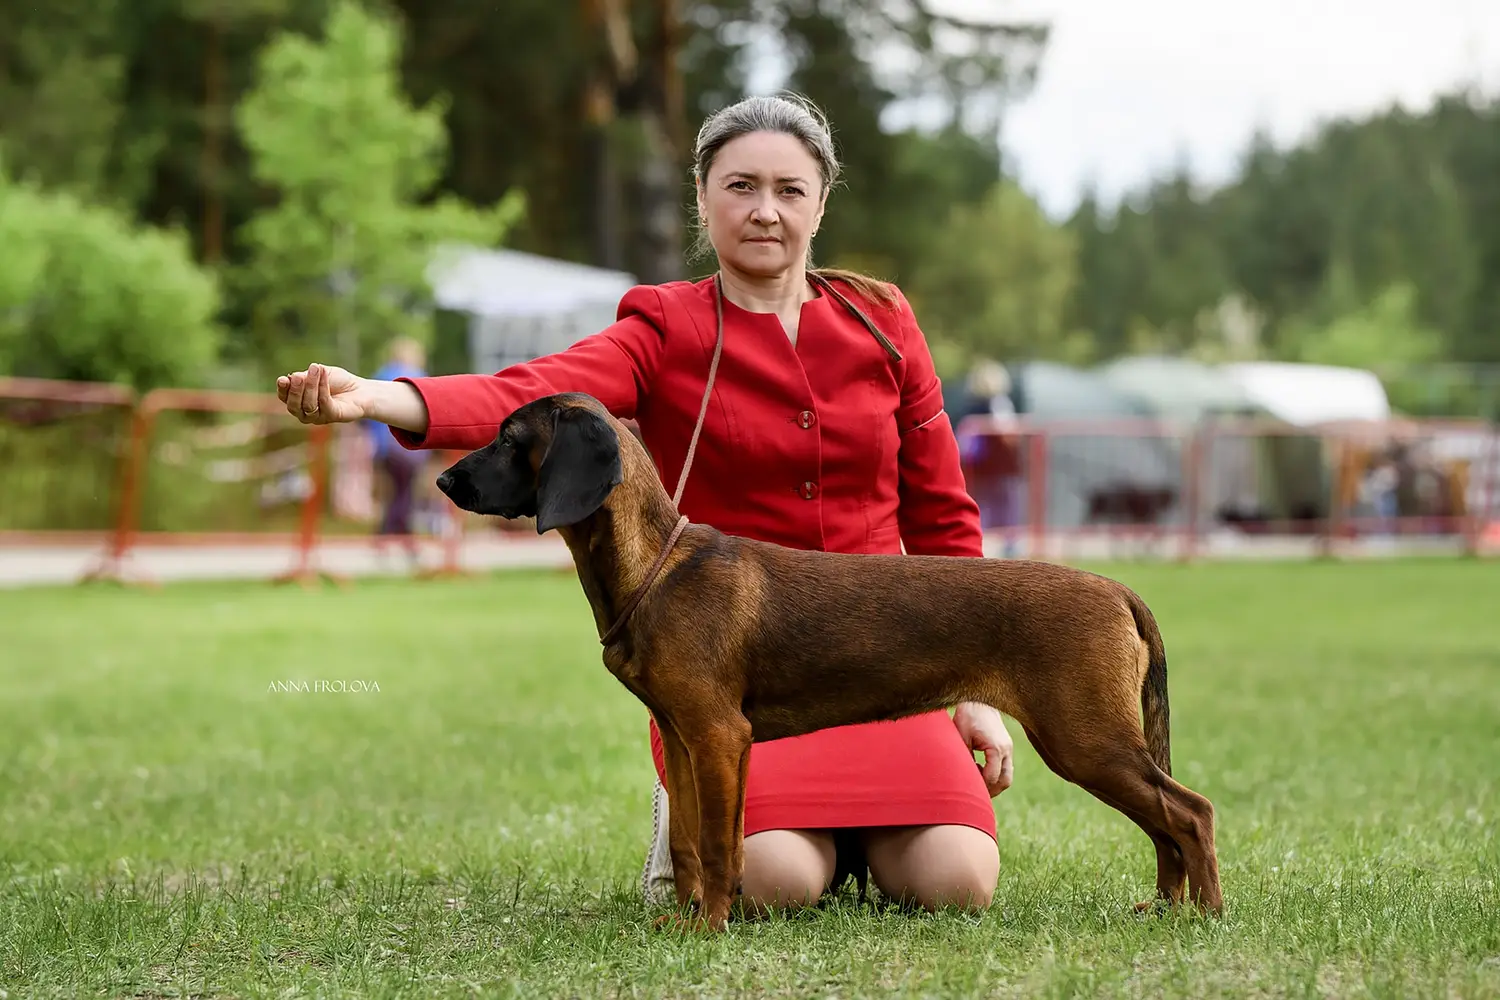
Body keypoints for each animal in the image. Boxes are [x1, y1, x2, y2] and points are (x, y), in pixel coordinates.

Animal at [436, 392, 1222, 931]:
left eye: (510, 438)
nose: (444, 483)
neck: (657, 569)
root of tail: (1117, 589)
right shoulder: (687, 741)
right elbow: (689, 844)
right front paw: (682, 922)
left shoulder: (719, 737)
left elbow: (719, 847)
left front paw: (709, 929)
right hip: (1095, 746)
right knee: (1164, 823)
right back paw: (1164, 908)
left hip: (1086, 741)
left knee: (1190, 812)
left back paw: (1206, 916)